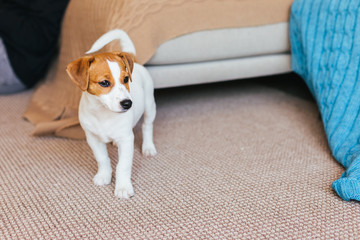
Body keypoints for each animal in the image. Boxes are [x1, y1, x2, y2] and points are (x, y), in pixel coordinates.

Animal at [66, 29, 156, 199]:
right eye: (104, 83)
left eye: (126, 79)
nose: (128, 103)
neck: (102, 113)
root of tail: (135, 60)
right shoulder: (93, 139)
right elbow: (102, 159)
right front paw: (104, 176)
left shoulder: (126, 140)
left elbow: (123, 165)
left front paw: (123, 187)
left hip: (150, 106)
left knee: (147, 126)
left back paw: (148, 147)